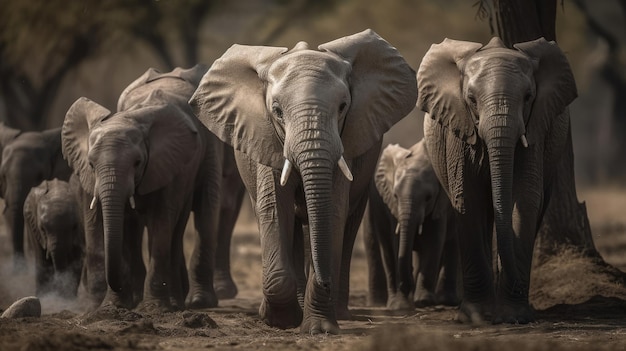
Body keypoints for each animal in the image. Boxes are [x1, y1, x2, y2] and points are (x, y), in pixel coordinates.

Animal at [60, 64, 227, 312]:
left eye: (137, 162)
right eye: (90, 164)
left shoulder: (167, 163)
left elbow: (161, 221)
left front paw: (155, 308)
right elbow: (118, 224)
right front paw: (113, 308)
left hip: (209, 147)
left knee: (202, 212)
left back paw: (195, 302)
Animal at [188, 28, 416, 334]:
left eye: (343, 107)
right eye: (277, 111)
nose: (324, 282)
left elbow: (333, 213)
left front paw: (319, 328)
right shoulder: (265, 138)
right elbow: (274, 209)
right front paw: (279, 319)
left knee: (346, 226)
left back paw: (338, 311)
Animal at [360, 140, 458, 310]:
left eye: (428, 197)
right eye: (395, 195)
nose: (409, 283)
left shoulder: (441, 204)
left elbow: (434, 241)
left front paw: (424, 301)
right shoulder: (393, 207)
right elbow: (397, 241)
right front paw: (402, 305)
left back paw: (446, 300)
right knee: (383, 247)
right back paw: (389, 304)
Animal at [414, 36, 576, 324]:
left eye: (528, 97)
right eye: (471, 99)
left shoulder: (534, 128)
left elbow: (524, 199)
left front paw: (515, 315)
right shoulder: (458, 128)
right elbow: (468, 200)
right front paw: (476, 317)